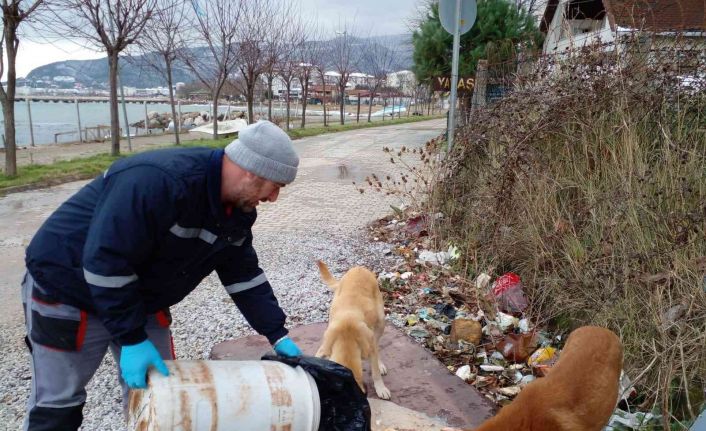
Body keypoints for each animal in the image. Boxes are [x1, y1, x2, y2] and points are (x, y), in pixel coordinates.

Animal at [315, 260, 391, 399]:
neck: (346, 337)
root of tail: (359, 268)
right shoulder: (324, 347)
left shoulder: (370, 347)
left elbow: (375, 372)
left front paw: (381, 388)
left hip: (381, 322)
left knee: (377, 344)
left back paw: (380, 364)